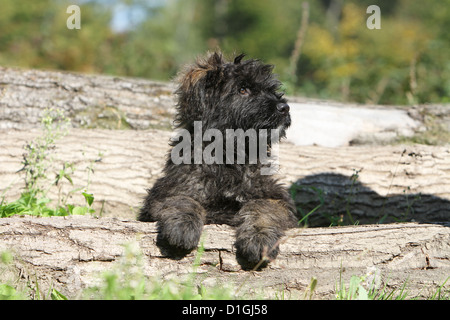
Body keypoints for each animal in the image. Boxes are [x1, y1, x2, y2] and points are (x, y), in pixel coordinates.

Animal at [138, 51, 298, 268]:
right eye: (242, 89)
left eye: (271, 90)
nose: (284, 107)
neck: (230, 157)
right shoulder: (166, 192)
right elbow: (183, 199)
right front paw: (182, 226)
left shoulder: (275, 197)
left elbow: (263, 207)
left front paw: (260, 237)